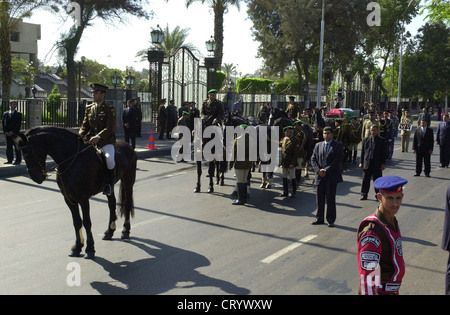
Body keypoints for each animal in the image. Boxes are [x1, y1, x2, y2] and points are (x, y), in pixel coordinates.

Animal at [14, 126, 136, 260]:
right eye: (23, 154)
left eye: (29, 153)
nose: (37, 178)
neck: (71, 160)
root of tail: (128, 145)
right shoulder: (68, 199)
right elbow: (76, 222)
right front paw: (77, 247)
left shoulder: (83, 199)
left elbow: (87, 222)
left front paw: (90, 249)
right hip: (110, 187)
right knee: (112, 204)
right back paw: (109, 232)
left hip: (128, 181)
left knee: (127, 203)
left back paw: (125, 230)